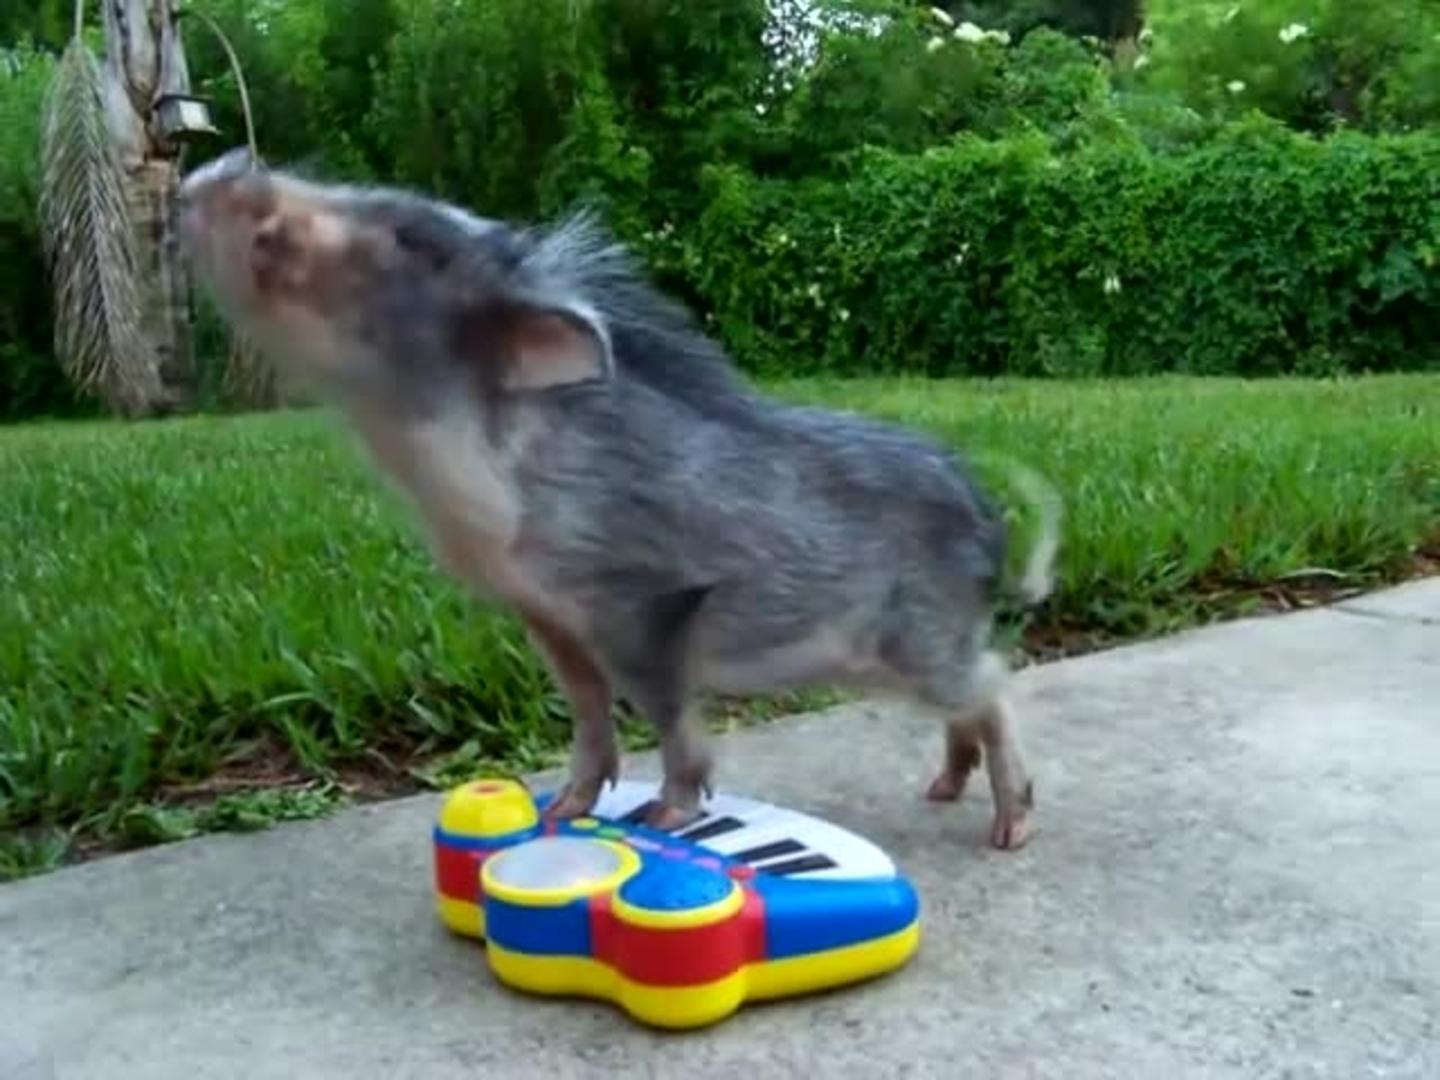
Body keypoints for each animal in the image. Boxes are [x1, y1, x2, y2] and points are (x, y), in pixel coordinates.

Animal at [177, 148, 1061, 849]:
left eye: (410, 240)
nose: (219, 166)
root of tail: (991, 523)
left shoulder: (646, 601)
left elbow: (664, 715)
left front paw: (664, 820)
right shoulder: (545, 613)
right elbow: (589, 713)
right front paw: (561, 812)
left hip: (920, 639)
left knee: (995, 682)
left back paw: (1010, 831)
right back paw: (938, 792)